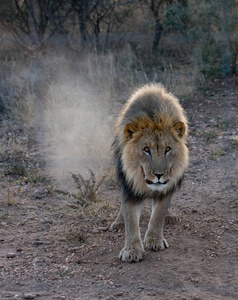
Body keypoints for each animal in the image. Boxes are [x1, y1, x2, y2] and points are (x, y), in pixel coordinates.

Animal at [109, 83, 190, 262]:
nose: (159, 175)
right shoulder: (129, 187)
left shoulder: (168, 186)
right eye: (146, 149)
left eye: (168, 149)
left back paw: (171, 217)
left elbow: (159, 214)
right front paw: (131, 250)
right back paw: (118, 223)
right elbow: (131, 221)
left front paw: (154, 240)